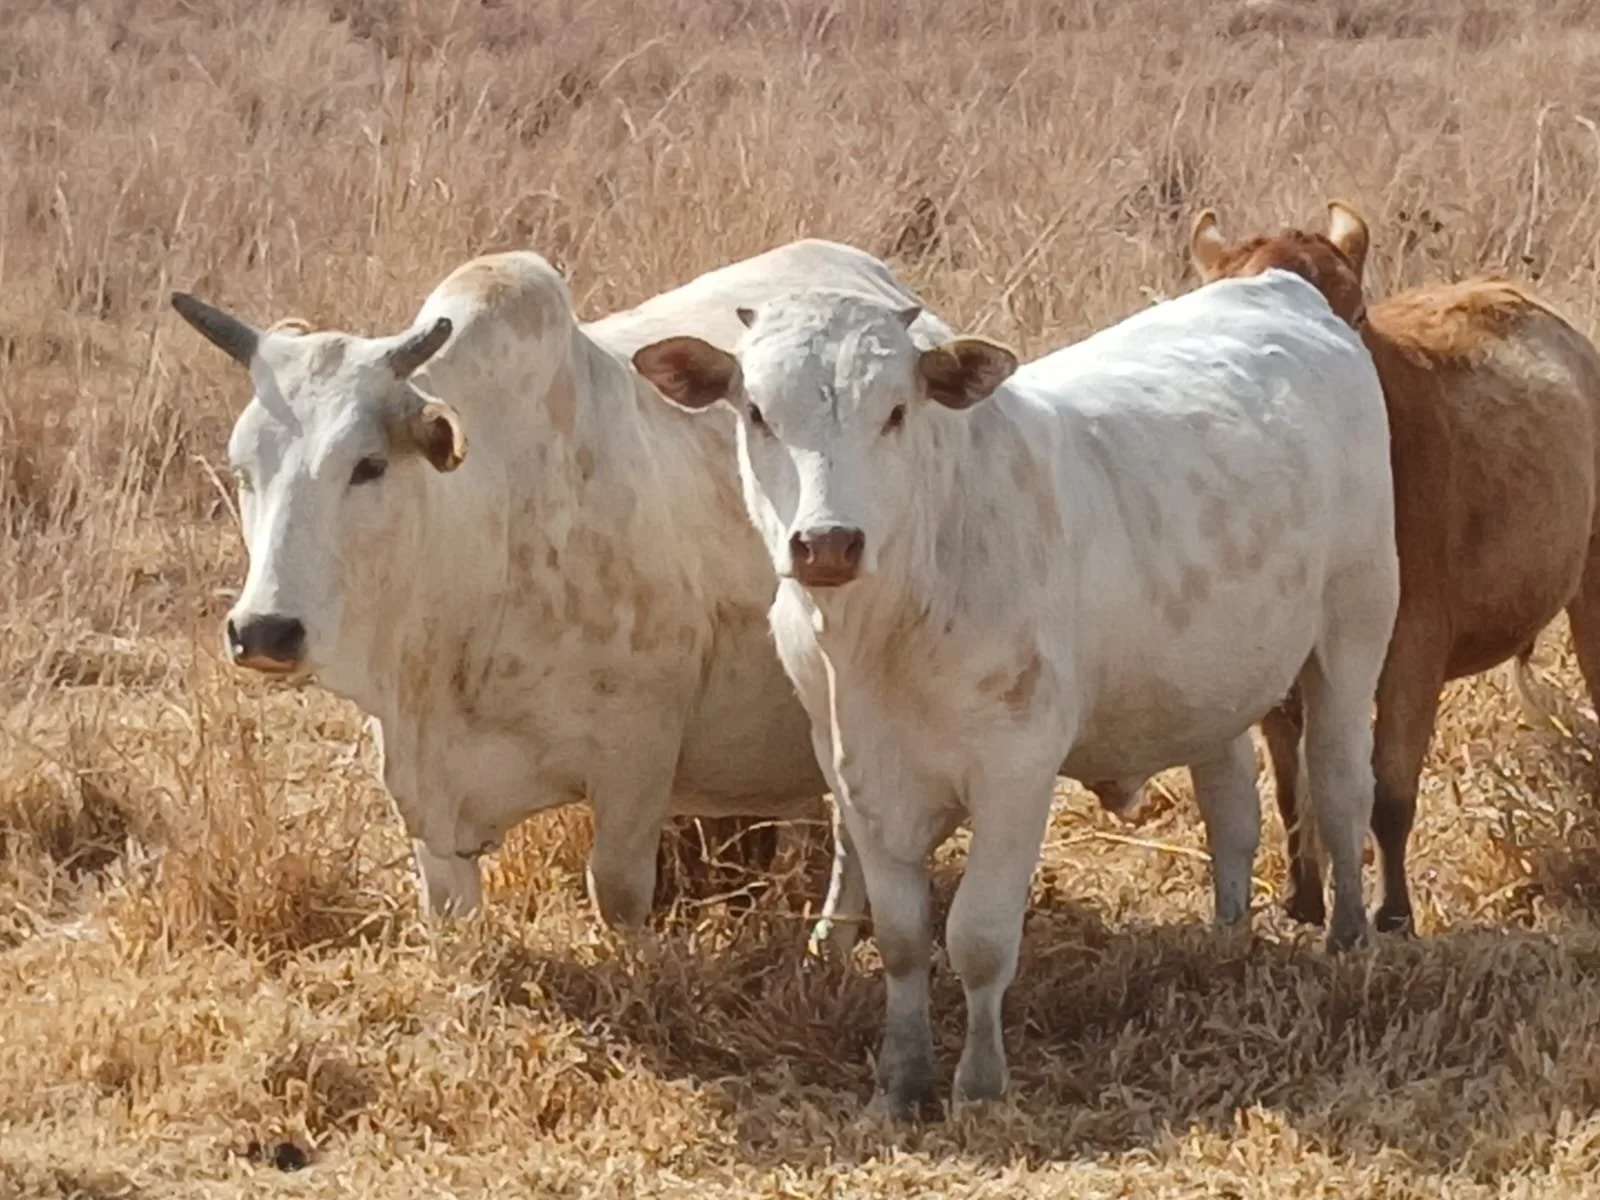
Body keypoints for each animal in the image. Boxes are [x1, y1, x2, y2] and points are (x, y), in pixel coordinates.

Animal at [168, 239, 955, 931]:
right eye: (243, 468)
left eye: (367, 464)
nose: (264, 630)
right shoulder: (425, 798)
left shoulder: (637, 764)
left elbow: (618, 895)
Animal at [631, 271, 1399, 1117]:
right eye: (759, 413)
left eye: (896, 410)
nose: (827, 542)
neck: (881, 636)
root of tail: (1277, 285)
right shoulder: (853, 771)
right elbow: (902, 938)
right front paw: (903, 1079)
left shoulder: (1015, 772)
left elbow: (978, 936)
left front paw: (978, 1083)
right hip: (1210, 683)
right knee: (1230, 805)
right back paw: (1227, 938)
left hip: (1355, 628)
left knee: (1340, 787)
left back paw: (1349, 937)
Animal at [1190, 200, 1600, 934]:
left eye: (1354, 316)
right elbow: (1295, 793)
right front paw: (1301, 901)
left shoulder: (1413, 643)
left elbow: (1389, 789)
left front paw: (1393, 913)